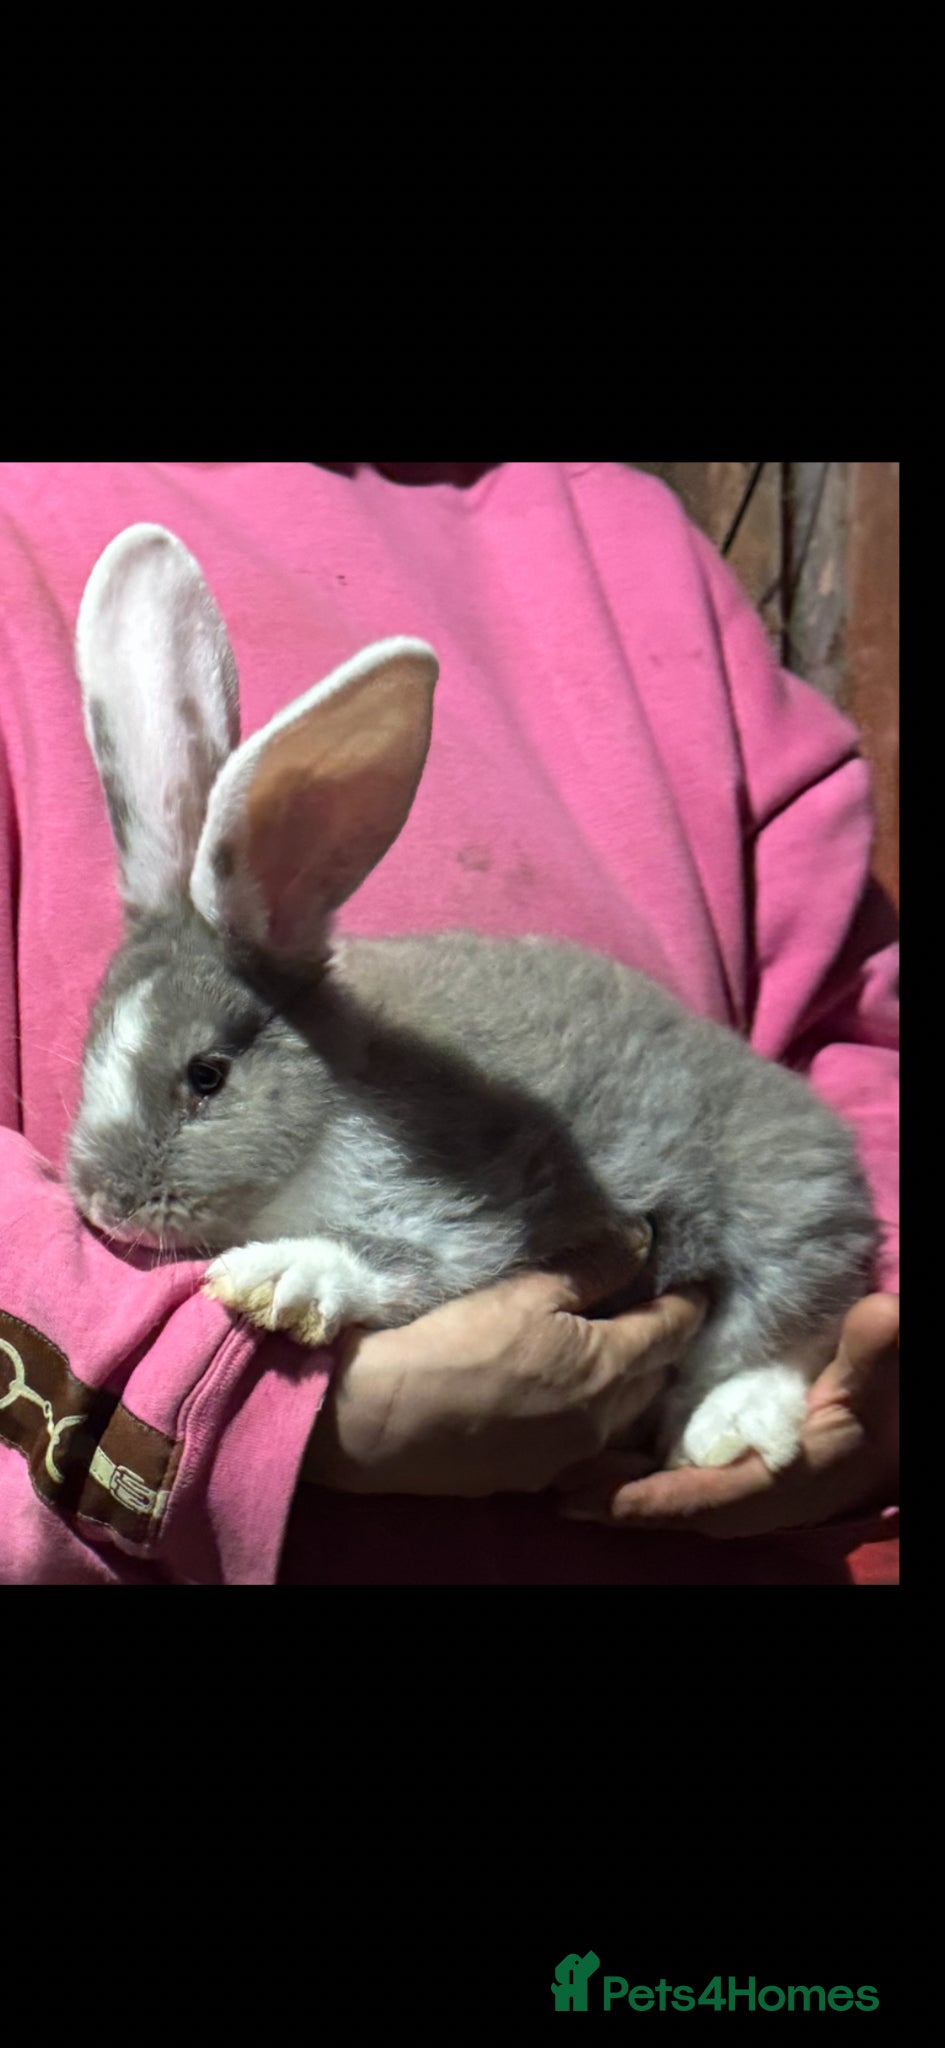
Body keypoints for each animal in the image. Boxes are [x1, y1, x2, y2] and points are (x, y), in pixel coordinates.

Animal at [67, 523, 877, 1475]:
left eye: (207, 1076)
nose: (106, 1206)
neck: (327, 1116)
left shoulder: (458, 1209)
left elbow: (402, 1264)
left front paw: (279, 1277)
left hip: (785, 1210)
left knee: (783, 1325)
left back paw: (727, 1429)